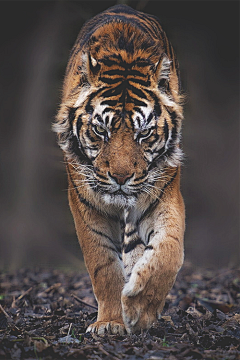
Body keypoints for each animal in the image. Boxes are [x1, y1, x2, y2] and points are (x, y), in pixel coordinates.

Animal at [54, 4, 186, 334]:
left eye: (144, 133)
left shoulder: (162, 194)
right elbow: (103, 265)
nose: (121, 177)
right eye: (101, 130)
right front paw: (111, 321)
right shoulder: (86, 204)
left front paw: (140, 308)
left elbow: (168, 251)